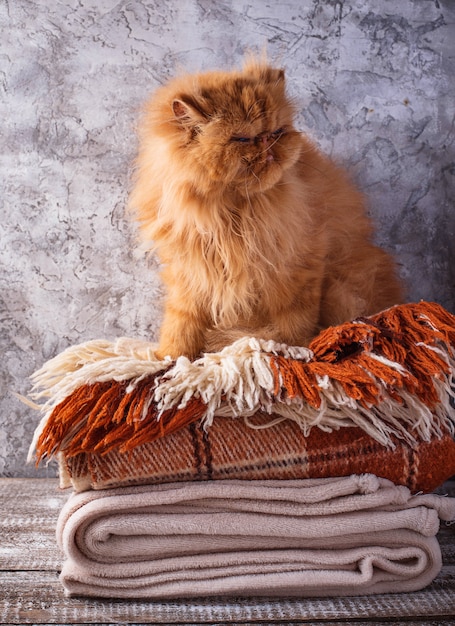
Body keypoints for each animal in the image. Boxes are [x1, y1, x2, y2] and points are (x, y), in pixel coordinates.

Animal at [128, 61, 402, 360]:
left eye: (278, 131)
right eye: (242, 138)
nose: (268, 142)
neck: (233, 213)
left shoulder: (297, 266)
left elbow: (294, 322)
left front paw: (297, 351)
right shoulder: (191, 272)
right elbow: (182, 323)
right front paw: (169, 358)